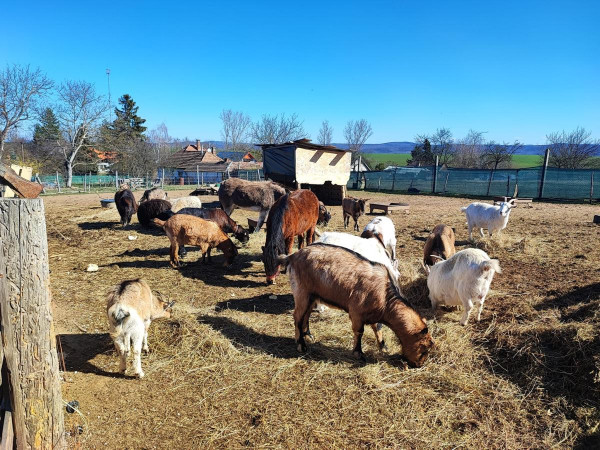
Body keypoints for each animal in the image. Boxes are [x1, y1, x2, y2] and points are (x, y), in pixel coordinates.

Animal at [278, 244, 434, 368]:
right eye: (424, 348)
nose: (420, 365)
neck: (385, 295)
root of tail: (293, 256)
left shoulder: (374, 314)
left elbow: (377, 329)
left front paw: (383, 346)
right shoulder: (356, 312)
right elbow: (359, 332)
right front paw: (358, 353)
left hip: (312, 296)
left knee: (306, 315)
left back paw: (308, 335)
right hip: (302, 292)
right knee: (298, 317)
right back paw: (301, 345)